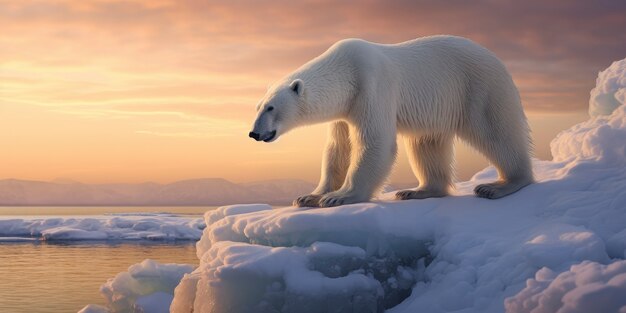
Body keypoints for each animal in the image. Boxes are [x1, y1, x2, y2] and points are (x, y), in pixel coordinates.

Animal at [249, 35, 532, 206]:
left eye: (271, 108)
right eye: (258, 107)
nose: (254, 134)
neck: (345, 70)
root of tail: (496, 58)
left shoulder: (370, 86)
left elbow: (374, 141)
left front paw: (338, 197)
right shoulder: (345, 110)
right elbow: (337, 149)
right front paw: (310, 196)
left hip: (480, 88)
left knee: (497, 133)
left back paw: (498, 186)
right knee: (426, 143)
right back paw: (417, 190)